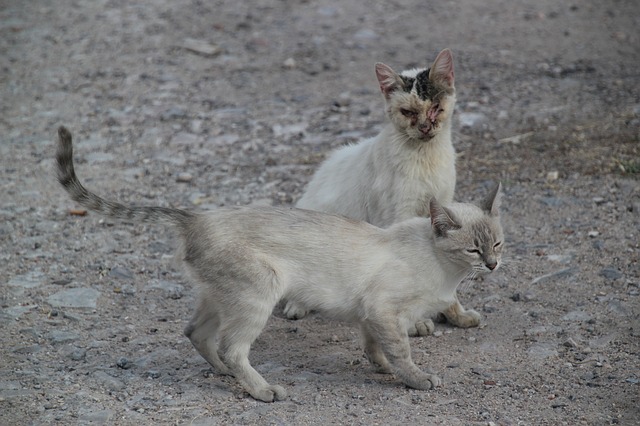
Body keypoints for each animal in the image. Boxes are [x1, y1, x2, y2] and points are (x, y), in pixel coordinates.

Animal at [288, 47, 476, 332]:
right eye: (408, 112)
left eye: (436, 107)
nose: (425, 127)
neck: (425, 158)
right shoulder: (400, 216)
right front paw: (417, 322)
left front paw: (456, 314)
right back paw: (298, 304)